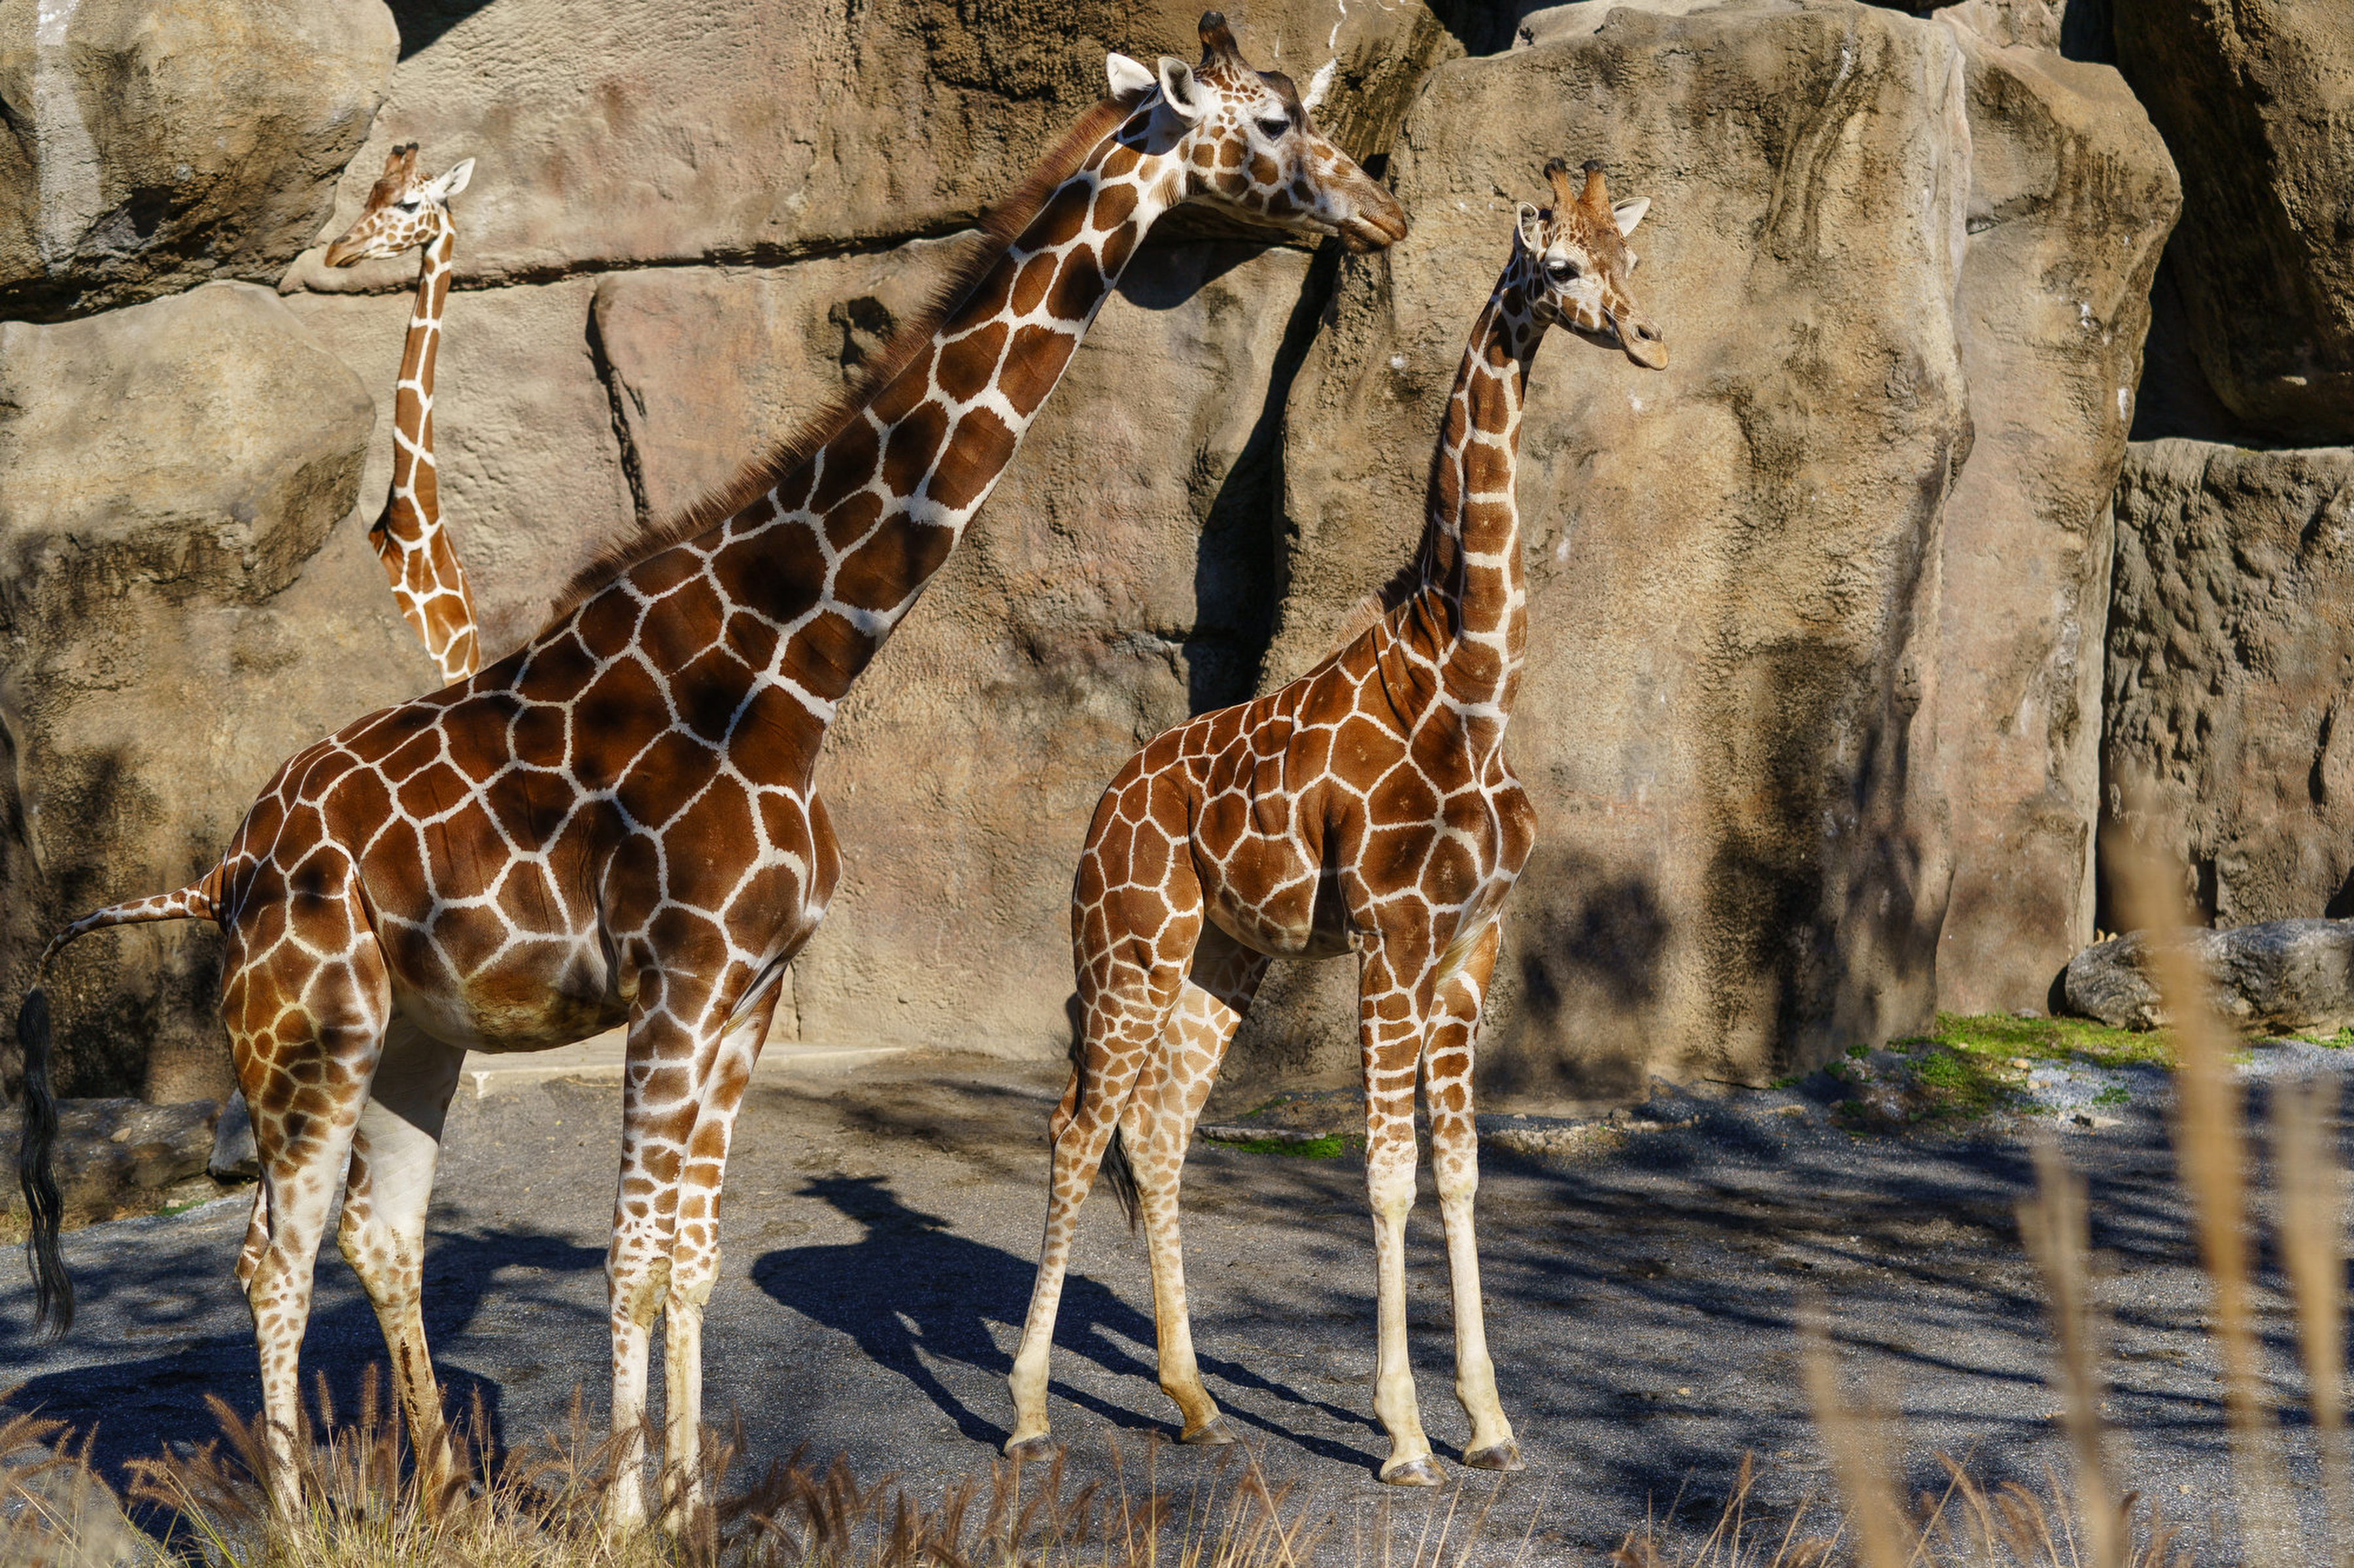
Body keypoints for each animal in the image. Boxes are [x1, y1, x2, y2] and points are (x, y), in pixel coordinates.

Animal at [1002, 159, 1666, 1478]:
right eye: (1564, 265)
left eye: (1632, 257)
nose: (1644, 336)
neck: (1470, 685)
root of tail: (1101, 807)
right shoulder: (1389, 937)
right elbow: (1388, 1176)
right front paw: (1405, 1434)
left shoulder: (1471, 948)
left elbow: (1461, 1174)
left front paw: (1491, 1424)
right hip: (1130, 946)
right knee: (1075, 1126)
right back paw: (1033, 1409)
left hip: (1225, 953)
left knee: (1156, 1130)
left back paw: (1195, 1399)